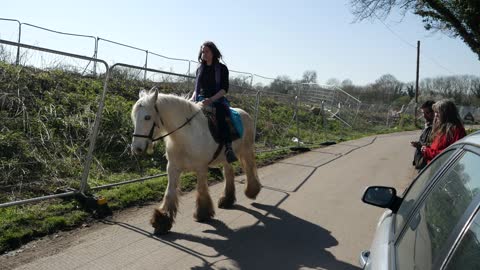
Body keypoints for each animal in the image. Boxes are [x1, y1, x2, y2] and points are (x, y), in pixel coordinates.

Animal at [130, 87, 262, 233]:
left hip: (246, 151)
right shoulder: (172, 168)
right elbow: (169, 193)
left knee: (249, 169)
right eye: (134, 117)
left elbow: (201, 190)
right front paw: (162, 221)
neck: (186, 135)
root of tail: (245, 113)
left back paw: (252, 191)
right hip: (225, 158)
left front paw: (202, 214)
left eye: (147, 117)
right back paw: (227, 200)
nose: (136, 148)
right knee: (229, 173)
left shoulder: (201, 168)